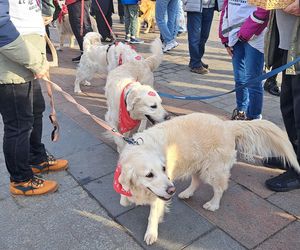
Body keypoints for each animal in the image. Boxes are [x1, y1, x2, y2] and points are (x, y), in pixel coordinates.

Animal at [117, 113, 300, 244]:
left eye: (164, 169)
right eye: (149, 174)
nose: (171, 190)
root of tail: (227, 125)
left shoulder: (160, 194)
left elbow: (153, 214)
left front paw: (151, 234)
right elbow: (123, 192)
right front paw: (125, 199)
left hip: (213, 170)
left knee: (220, 189)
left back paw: (213, 204)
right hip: (197, 165)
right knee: (197, 182)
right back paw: (186, 193)